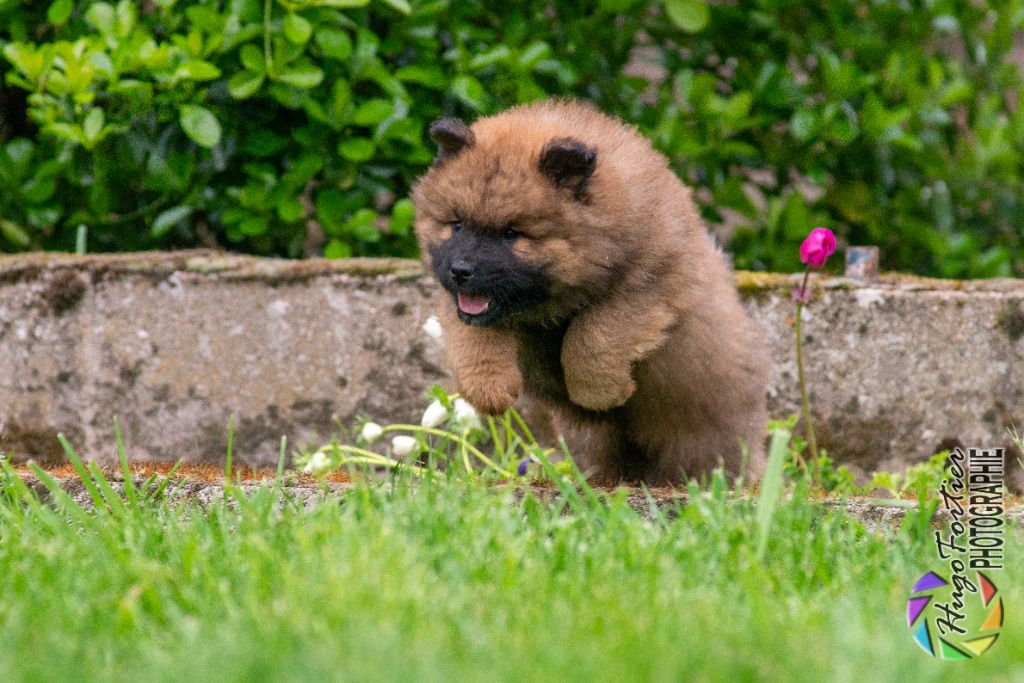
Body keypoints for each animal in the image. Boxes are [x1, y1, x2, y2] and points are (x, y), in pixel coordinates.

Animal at [411, 102, 765, 485]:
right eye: (456, 224)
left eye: (511, 233)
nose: (460, 270)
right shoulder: (463, 301)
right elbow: (475, 338)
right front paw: (488, 389)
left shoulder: (653, 279)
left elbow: (594, 333)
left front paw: (599, 392)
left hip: (701, 436)